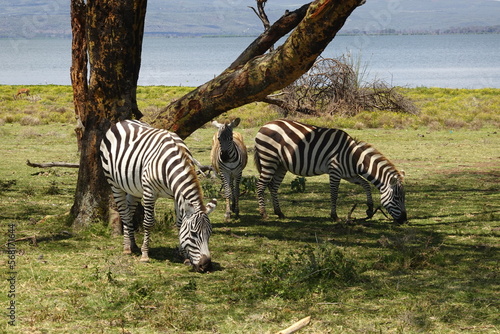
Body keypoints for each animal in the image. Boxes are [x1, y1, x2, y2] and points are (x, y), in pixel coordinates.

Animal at [100, 119, 218, 272]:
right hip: (114, 183)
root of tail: (123, 121)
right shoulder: (149, 192)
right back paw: (126, 248)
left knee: (129, 211)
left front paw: (184, 256)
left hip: (134, 188)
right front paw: (145, 255)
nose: (206, 265)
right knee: (124, 213)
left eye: (210, 233)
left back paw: (133, 244)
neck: (171, 165)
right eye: (193, 234)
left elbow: (179, 223)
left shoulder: (176, 195)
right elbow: (148, 222)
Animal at [254, 118, 406, 223]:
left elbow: (366, 184)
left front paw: (369, 209)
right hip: (269, 159)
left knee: (273, 186)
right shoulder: (335, 171)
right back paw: (263, 213)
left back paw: (279, 212)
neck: (354, 157)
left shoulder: (349, 174)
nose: (404, 220)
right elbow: (334, 194)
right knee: (260, 185)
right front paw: (334, 216)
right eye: (397, 198)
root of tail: (264, 125)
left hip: (280, 165)